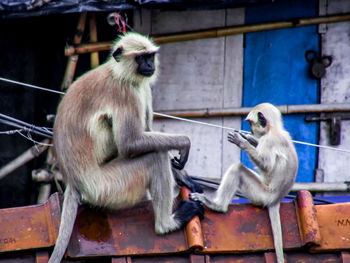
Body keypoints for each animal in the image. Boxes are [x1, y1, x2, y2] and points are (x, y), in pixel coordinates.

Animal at [49, 33, 202, 263]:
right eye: (140, 58)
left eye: (149, 56)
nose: (149, 65)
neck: (118, 72)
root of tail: (74, 182)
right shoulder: (124, 92)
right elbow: (130, 143)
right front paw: (184, 142)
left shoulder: (141, 88)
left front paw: (184, 178)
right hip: (106, 187)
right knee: (155, 156)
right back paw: (166, 224)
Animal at [191, 102, 298, 263]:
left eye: (250, 123)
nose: (249, 129)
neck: (274, 130)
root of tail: (276, 199)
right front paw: (250, 139)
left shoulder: (269, 140)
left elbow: (266, 165)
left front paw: (242, 142)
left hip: (261, 194)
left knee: (237, 169)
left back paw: (217, 206)